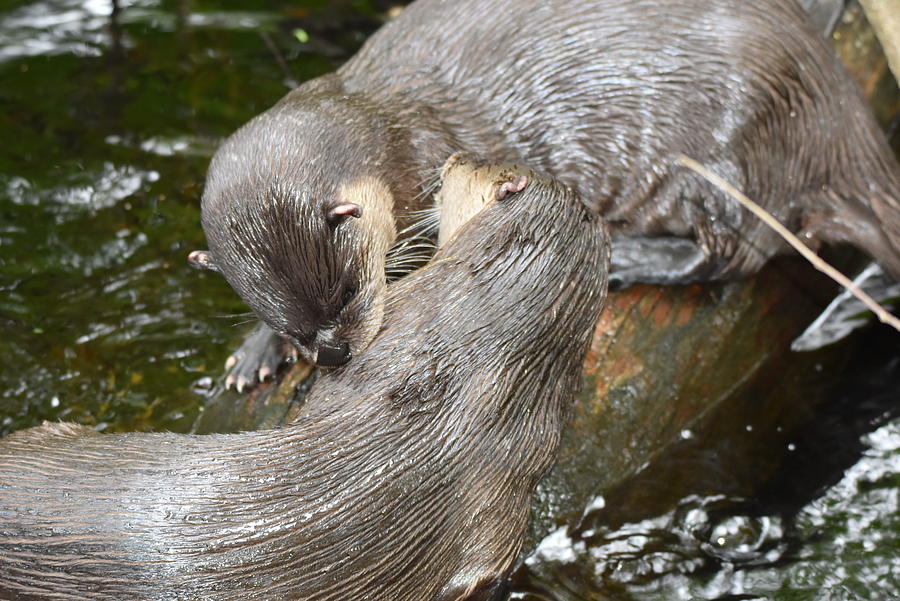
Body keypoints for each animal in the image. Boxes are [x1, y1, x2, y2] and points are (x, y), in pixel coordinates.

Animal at [190, 0, 900, 384]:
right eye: (293, 321)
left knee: (737, 251)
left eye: (345, 291)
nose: (333, 353)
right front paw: (256, 351)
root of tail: (840, 117)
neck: (390, 132)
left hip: (730, 139)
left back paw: (628, 253)